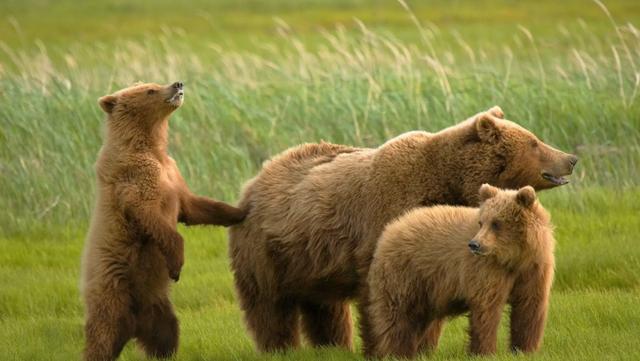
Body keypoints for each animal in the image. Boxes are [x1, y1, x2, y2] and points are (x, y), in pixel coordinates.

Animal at [229, 105, 576, 352]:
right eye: (534, 142)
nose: (571, 158)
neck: (448, 182)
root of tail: (253, 182)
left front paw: (424, 344)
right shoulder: (384, 219)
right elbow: (380, 294)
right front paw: (383, 347)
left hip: (312, 259)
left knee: (324, 306)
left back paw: (333, 345)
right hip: (267, 252)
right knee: (269, 305)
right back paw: (279, 347)